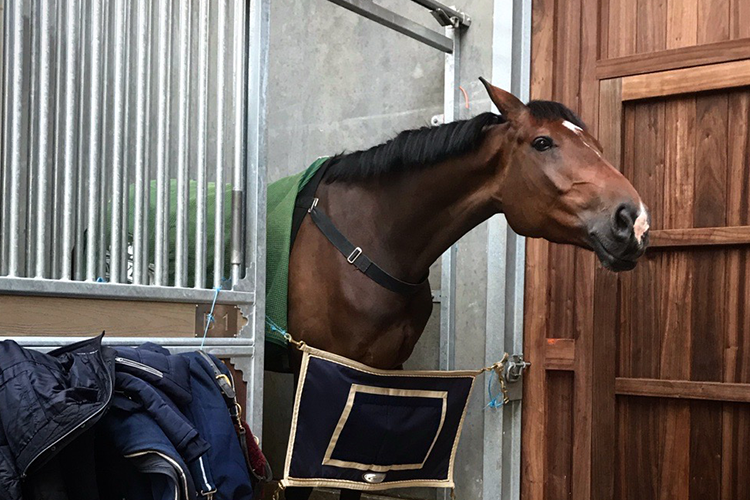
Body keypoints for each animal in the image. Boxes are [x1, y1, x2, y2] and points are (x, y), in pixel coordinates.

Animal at [283, 77, 650, 500]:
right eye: (542, 142)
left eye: (596, 146)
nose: (635, 221)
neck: (369, 236)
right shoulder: (313, 376)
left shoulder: (379, 372)